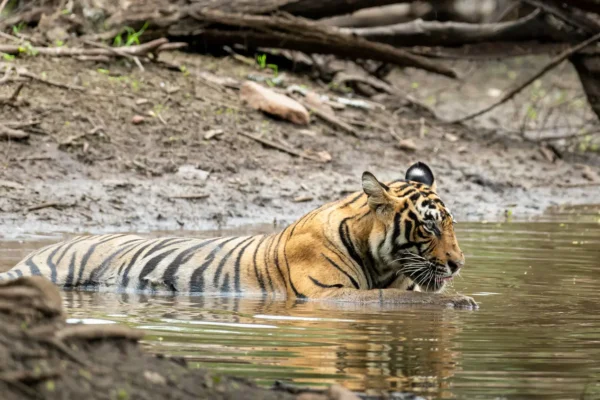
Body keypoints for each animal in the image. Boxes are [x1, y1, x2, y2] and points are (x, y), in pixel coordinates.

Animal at [0, 162, 478, 310]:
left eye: (450, 223)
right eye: (430, 225)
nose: (459, 264)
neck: (380, 259)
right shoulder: (326, 294)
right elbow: (399, 299)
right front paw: (460, 302)